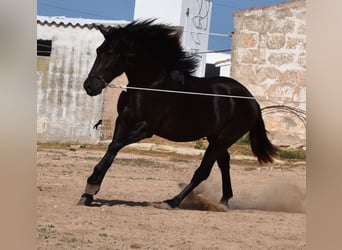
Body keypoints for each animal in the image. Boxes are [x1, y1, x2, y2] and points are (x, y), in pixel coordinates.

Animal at [79, 19, 278, 208]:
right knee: (224, 163)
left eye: (112, 53)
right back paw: (223, 201)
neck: (151, 86)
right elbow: (112, 148)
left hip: (225, 137)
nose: (89, 86)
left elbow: (115, 146)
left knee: (203, 171)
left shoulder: (145, 129)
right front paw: (88, 194)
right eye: (98, 51)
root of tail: (252, 100)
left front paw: (91, 185)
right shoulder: (123, 121)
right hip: (215, 137)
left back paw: (171, 202)